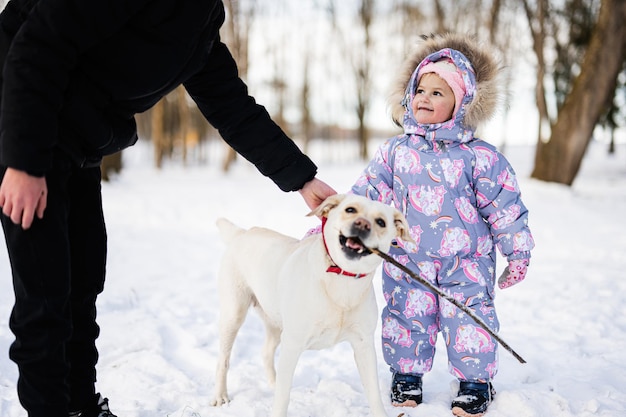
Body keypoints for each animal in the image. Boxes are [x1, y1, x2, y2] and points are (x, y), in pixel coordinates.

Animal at [212, 193, 412, 414]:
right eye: (350, 210)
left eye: (381, 222)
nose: (362, 224)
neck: (342, 280)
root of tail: (242, 233)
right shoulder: (293, 344)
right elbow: (283, 397)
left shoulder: (364, 345)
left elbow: (374, 394)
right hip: (234, 314)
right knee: (223, 360)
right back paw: (220, 396)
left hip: (276, 323)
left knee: (266, 353)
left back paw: (272, 383)